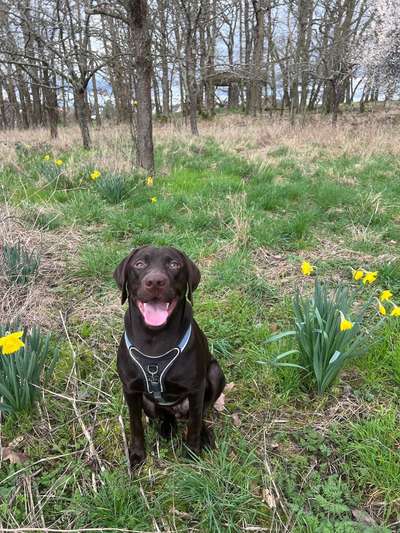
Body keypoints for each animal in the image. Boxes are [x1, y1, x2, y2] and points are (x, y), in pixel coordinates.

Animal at [113, 245, 225, 466]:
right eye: (139, 264)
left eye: (174, 264)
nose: (155, 281)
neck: (155, 338)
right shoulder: (130, 390)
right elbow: (135, 424)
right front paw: (137, 454)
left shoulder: (196, 388)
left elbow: (195, 422)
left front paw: (192, 452)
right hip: (148, 403)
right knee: (165, 414)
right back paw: (167, 428)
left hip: (215, 373)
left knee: (200, 412)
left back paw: (203, 434)